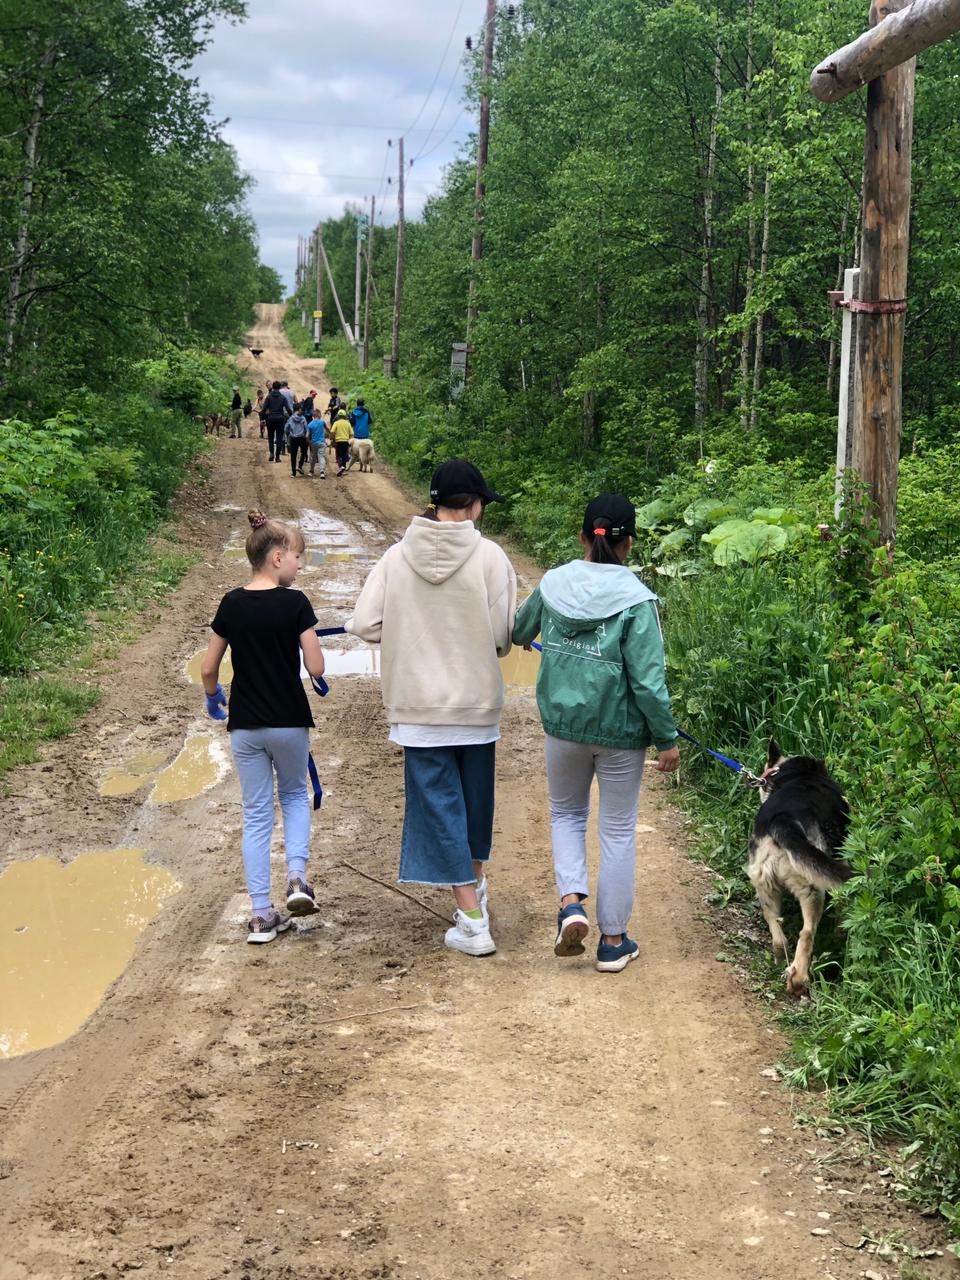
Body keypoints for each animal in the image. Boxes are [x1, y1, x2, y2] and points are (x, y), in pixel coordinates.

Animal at [747, 742, 855, 998]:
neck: (797, 773)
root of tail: (782, 820)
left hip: (763, 884)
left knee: (776, 927)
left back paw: (781, 960)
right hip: (812, 889)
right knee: (806, 933)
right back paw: (798, 980)